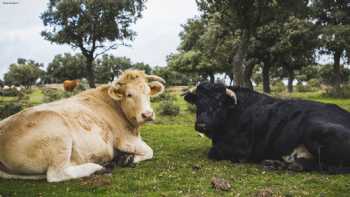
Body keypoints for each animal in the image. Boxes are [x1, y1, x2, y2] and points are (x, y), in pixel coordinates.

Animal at [186, 82, 350, 173]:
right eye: (198, 101)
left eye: (219, 102)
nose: (201, 124)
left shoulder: (240, 151)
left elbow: (213, 152)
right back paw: (276, 163)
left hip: (314, 130)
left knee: (329, 166)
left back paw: (292, 165)